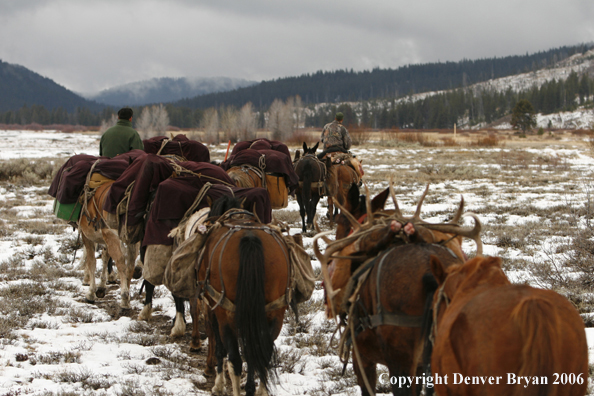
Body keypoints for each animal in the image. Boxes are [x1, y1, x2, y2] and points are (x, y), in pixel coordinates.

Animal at [77, 180, 140, 310]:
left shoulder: (87, 236)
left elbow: (91, 261)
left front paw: (91, 292)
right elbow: (105, 257)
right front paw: (102, 285)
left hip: (112, 235)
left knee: (121, 261)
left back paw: (124, 297)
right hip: (131, 239)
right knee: (130, 263)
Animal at [198, 196, 290, 394]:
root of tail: (250, 238)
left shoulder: (213, 308)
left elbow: (220, 349)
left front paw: (218, 385)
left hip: (225, 314)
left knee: (235, 360)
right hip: (274, 313)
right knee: (262, 354)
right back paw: (259, 390)